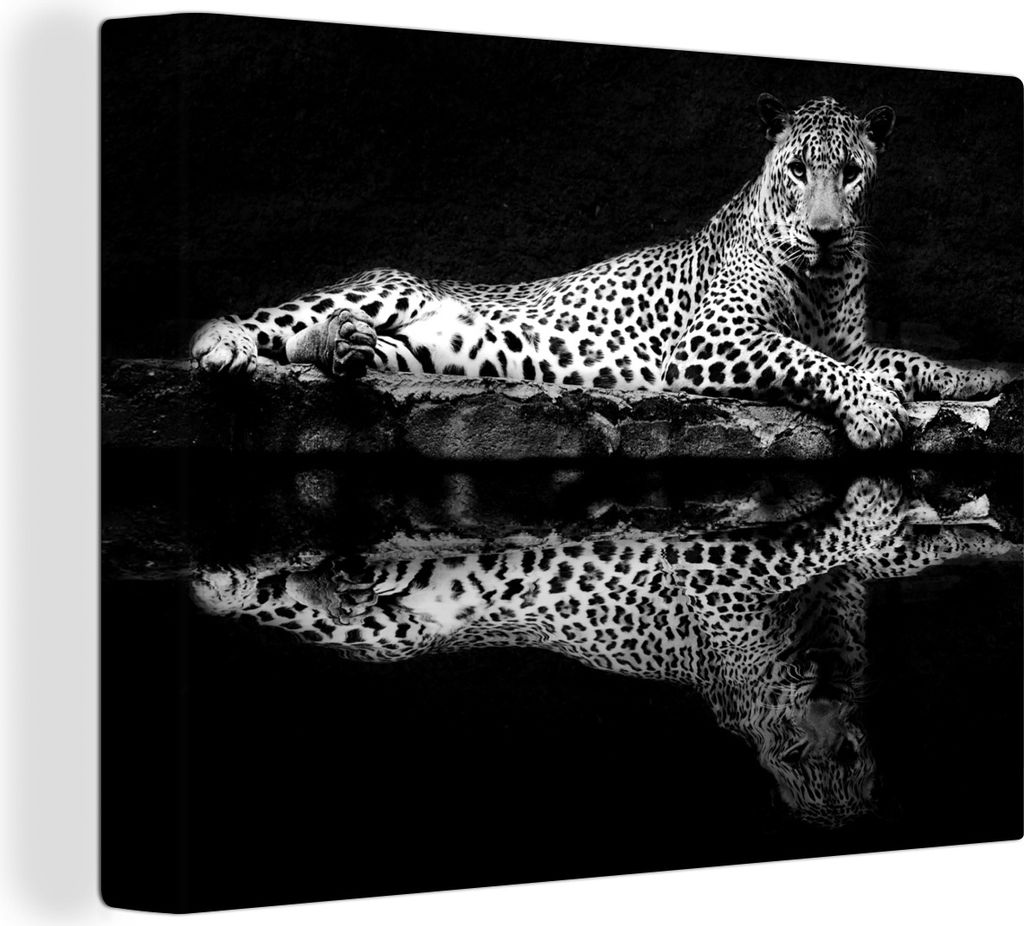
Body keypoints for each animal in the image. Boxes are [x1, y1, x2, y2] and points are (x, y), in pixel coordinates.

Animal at [189, 94, 1018, 450]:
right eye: (796, 172)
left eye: (850, 174)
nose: (825, 232)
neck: (817, 274)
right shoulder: (712, 340)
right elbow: (808, 360)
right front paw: (874, 411)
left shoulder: (852, 343)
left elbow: (904, 357)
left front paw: (982, 377)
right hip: (385, 284)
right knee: (270, 322)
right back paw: (225, 345)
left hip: (428, 345)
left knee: (328, 343)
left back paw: (342, 349)